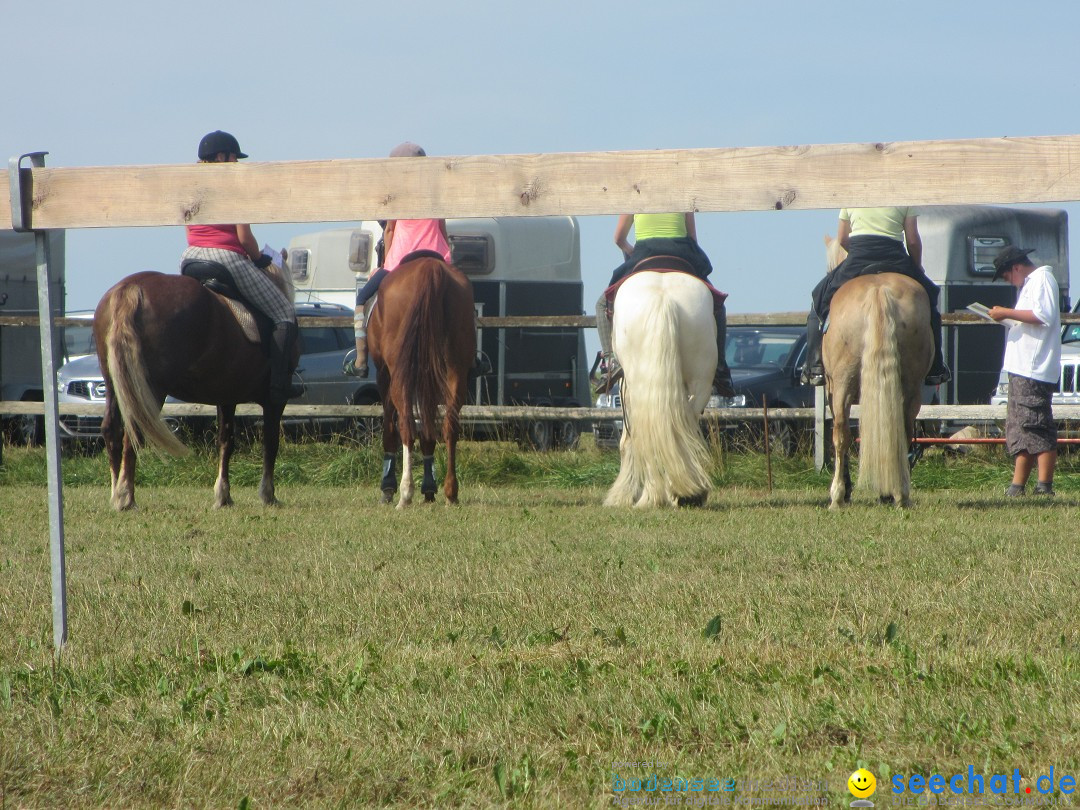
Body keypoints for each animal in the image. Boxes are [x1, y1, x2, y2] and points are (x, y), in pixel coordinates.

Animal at [91, 263, 295, 509]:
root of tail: (131, 288)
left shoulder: (226, 397)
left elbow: (226, 441)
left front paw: (223, 496)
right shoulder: (274, 402)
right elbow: (270, 443)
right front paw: (267, 495)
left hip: (116, 387)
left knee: (112, 430)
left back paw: (116, 493)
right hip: (149, 391)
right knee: (134, 432)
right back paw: (126, 497)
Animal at [367, 253, 477, 507]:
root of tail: (430, 269)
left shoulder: (383, 374)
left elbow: (390, 430)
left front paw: (387, 488)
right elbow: (428, 432)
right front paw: (429, 488)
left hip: (398, 375)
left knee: (406, 424)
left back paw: (405, 492)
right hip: (455, 369)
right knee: (450, 426)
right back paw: (450, 492)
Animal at [604, 271, 721, 507]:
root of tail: (663, 299)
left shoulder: (624, 386)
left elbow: (628, 441)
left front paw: (621, 495)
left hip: (636, 386)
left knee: (646, 435)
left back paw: (653, 496)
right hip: (701, 385)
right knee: (682, 426)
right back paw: (686, 492)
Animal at [820, 234, 933, 509]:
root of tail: (878, 289)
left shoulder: (831, 388)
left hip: (841, 383)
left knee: (841, 434)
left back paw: (838, 496)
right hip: (911, 385)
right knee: (902, 431)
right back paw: (899, 493)